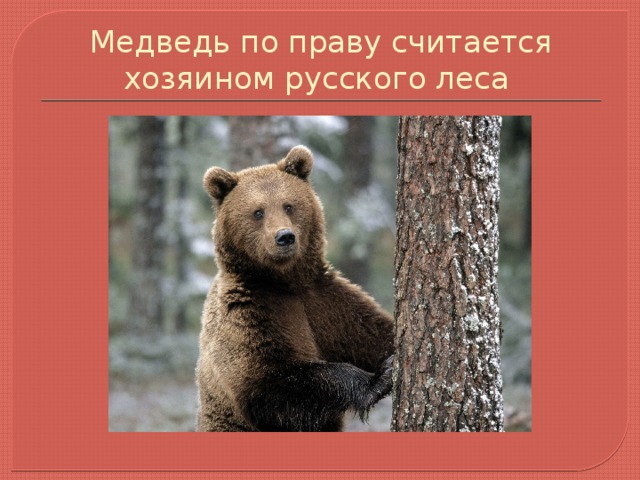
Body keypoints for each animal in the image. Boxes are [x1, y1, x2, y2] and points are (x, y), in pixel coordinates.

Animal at [195, 145, 394, 432]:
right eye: (258, 212)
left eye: (288, 205)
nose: (285, 237)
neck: (283, 281)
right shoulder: (250, 313)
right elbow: (273, 383)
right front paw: (377, 379)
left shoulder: (326, 301)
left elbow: (372, 332)